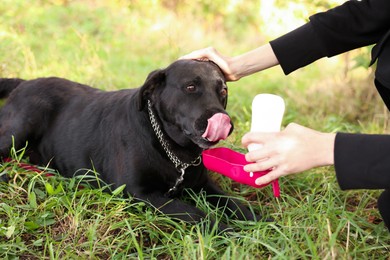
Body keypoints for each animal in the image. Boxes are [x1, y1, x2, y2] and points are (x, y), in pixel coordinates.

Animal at [0, 60, 262, 230]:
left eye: (223, 90)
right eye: (190, 87)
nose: (223, 121)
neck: (171, 149)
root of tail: (24, 83)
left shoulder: (203, 185)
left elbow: (232, 202)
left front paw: (255, 220)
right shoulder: (140, 193)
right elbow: (196, 213)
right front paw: (227, 230)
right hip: (21, 126)